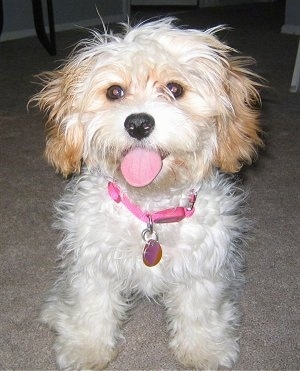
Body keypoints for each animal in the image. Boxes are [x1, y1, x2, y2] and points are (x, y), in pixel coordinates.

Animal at [35, 18, 262, 370]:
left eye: (175, 88)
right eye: (115, 91)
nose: (138, 124)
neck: (150, 208)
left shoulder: (203, 268)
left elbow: (199, 312)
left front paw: (204, 350)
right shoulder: (93, 264)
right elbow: (92, 309)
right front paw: (86, 348)